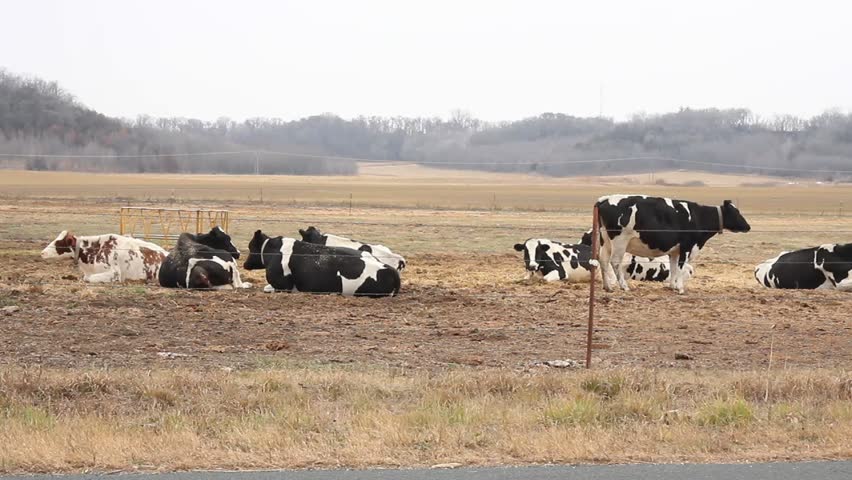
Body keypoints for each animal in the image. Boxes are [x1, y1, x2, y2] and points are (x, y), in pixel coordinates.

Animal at [244, 230, 400, 297]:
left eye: (251, 247)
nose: (245, 264)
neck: (274, 251)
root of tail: (390, 269)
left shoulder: (283, 286)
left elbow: (267, 288)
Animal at [595, 195, 750, 294]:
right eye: (736, 212)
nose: (748, 227)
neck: (698, 217)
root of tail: (604, 199)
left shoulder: (675, 250)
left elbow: (674, 268)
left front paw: (673, 286)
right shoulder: (686, 247)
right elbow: (681, 267)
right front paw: (680, 289)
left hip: (605, 241)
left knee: (603, 261)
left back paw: (607, 287)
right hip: (620, 241)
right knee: (615, 262)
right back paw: (624, 286)